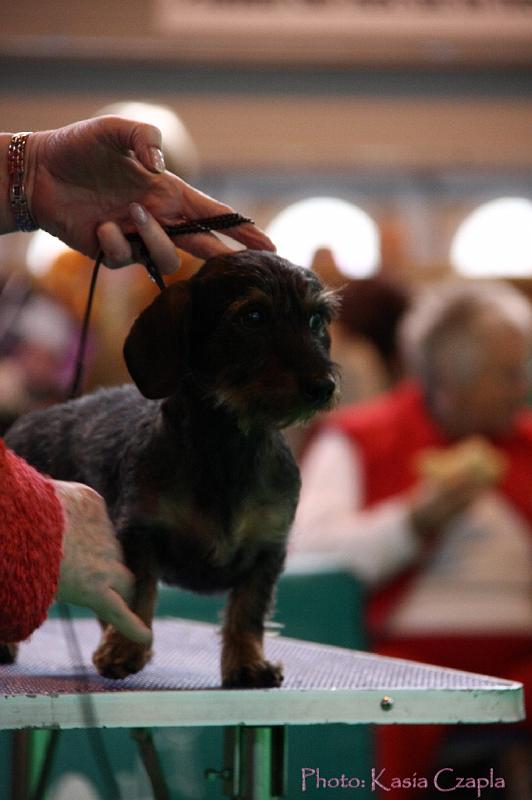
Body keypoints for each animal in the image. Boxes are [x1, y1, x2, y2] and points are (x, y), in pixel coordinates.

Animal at [6, 252, 338, 688]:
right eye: (252, 316)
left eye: (317, 319)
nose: (324, 386)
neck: (226, 445)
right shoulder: (139, 531)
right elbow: (140, 591)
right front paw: (125, 648)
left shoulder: (269, 546)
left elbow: (249, 610)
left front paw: (248, 663)